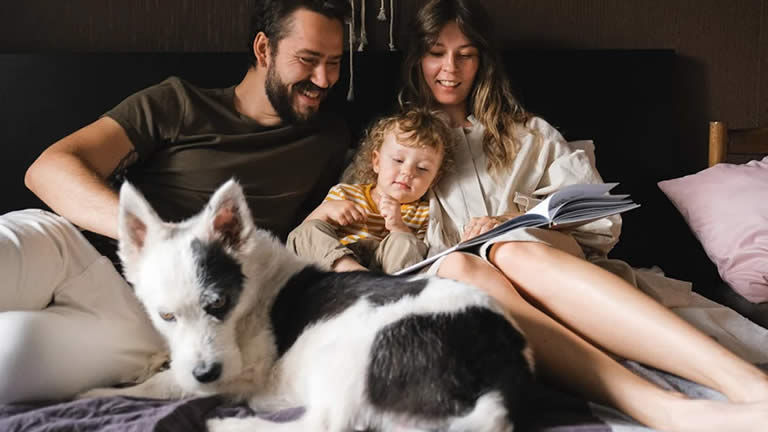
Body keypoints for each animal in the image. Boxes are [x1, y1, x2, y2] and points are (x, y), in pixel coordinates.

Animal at [81, 180, 532, 432]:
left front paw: (97, 391)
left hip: (350, 355)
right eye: (166, 316)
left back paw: (227, 423)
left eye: (219, 303)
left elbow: (161, 386)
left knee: (324, 425)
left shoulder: (242, 371)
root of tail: (502, 367)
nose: (206, 373)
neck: (253, 289)